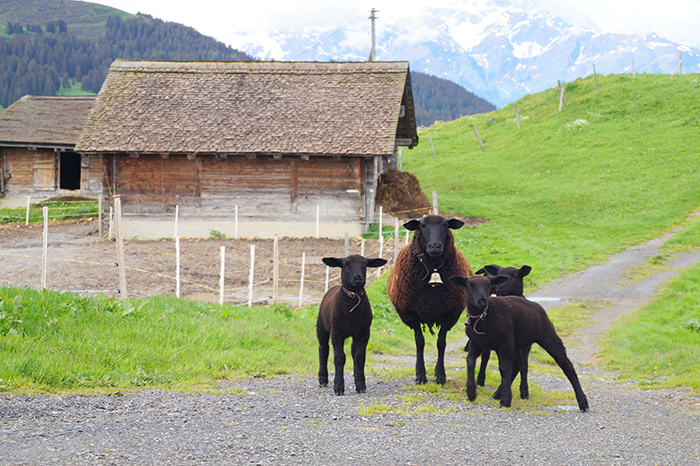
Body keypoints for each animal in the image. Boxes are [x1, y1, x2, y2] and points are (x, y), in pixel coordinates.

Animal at [318, 253, 388, 396]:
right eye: (345, 264)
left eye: (365, 265)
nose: (358, 277)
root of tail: (333, 287)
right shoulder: (337, 332)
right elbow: (339, 358)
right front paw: (339, 387)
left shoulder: (363, 332)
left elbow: (359, 357)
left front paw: (360, 385)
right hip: (322, 327)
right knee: (323, 350)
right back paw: (323, 379)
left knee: (353, 352)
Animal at [386, 214, 474, 382]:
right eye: (421, 227)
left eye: (446, 226)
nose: (435, 247)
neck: (433, 269)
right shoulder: (411, 313)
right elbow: (419, 342)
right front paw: (420, 375)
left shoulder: (450, 314)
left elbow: (441, 343)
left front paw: (440, 375)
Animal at [448, 274, 592, 412]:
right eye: (468, 285)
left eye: (488, 285)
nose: (483, 300)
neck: (483, 317)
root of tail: (535, 305)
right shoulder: (477, 343)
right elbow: (470, 361)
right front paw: (471, 393)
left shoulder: (504, 342)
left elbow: (504, 368)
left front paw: (506, 401)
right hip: (516, 343)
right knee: (517, 365)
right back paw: (498, 394)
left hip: (546, 336)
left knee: (566, 365)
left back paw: (583, 402)